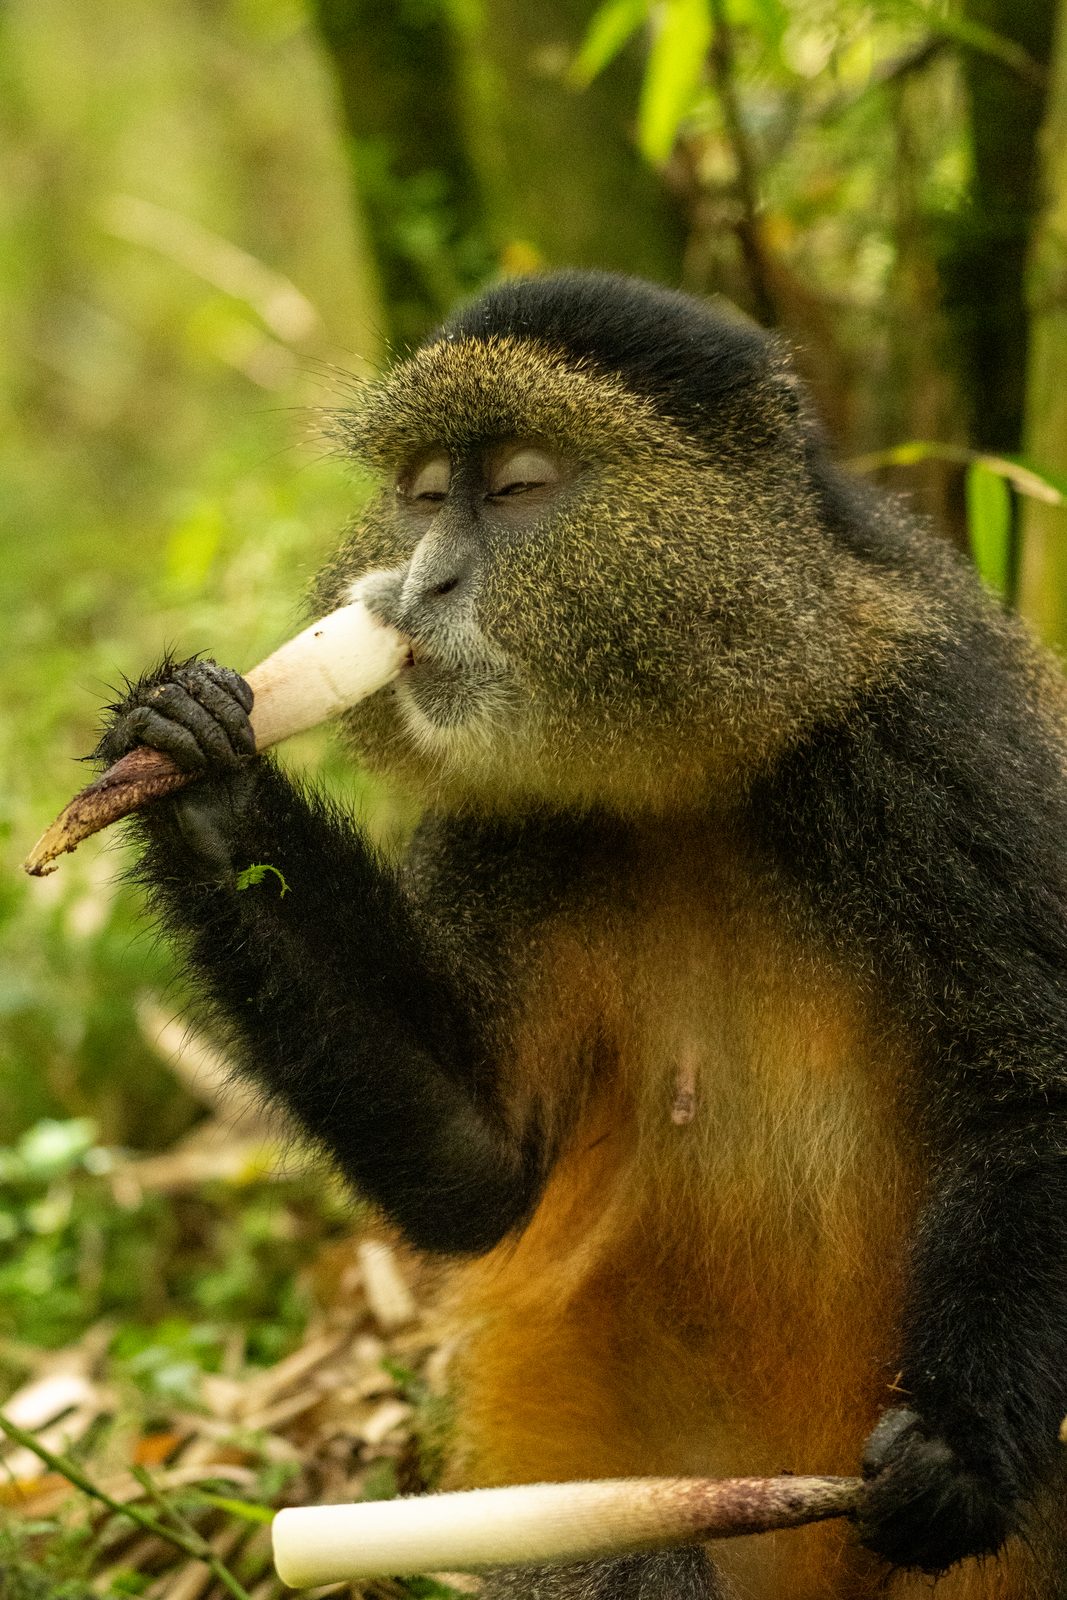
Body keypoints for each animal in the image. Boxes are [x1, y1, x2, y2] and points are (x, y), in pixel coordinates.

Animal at [94, 270, 1067, 1599]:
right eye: (422, 496)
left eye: (515, 488)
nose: (416, 588)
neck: (695, 773)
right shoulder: (499, 823)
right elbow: (479, 1159)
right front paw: (200, 774)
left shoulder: (935, 738)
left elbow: (1031, 1086)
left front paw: (957, 1454)